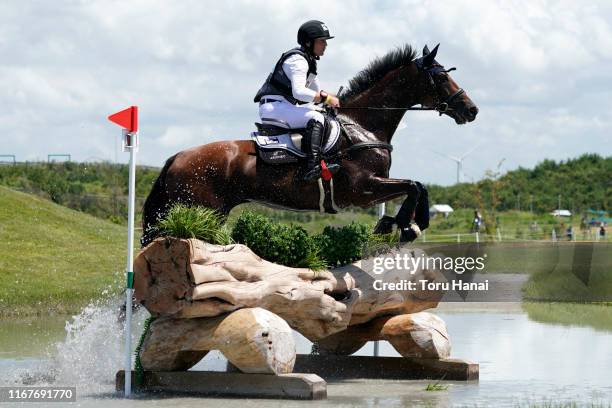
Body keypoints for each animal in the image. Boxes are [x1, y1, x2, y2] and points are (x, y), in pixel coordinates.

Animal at [142, 44, 478, 249]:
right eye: (441, 77)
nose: (471, 110)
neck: (363, 126)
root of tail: (175, 158)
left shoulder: (373, 188)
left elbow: (417, 186)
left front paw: (399, 224)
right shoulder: (363, 189)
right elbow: (413, 185)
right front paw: (405, 227)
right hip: (201, 212)